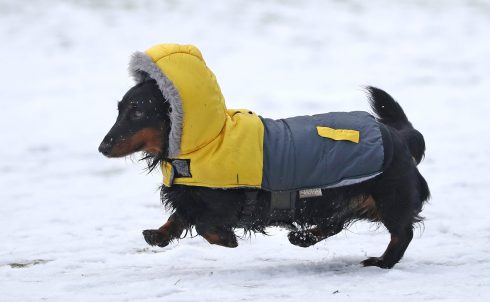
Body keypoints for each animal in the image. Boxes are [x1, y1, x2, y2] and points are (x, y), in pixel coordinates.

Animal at [97, 43, 426, 268]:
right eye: (120, 110)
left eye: (137, 111)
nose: (102, 147)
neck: (208, 140)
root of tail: (398, 137)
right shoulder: (190, 197)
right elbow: (179, 216)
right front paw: (159, 234)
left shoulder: (228, 203)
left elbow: (202, 223)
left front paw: (226, 239)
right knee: (336, 222)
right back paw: (303, 238)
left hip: (390, 197)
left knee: (402, 233)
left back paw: (382, 261)